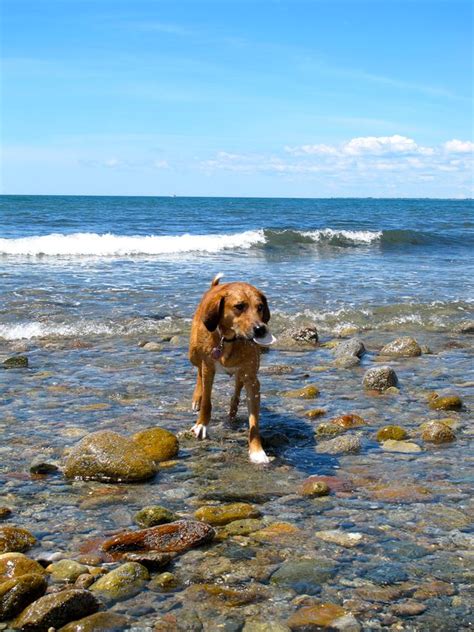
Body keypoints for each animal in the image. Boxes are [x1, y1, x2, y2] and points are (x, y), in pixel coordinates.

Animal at [188, 274, 274, 462]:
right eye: (239, 306)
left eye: (260, 307)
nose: (261, 329)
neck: (228, 339)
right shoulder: (209, 368)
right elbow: (207, 402)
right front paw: (201, 424)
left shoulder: (252, 379)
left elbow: (254, 421)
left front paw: (257, 451)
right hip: (194, 354)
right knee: (198, 373)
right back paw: (197, 397)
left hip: (241, 373)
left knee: (236, 390)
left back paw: (232, 413)